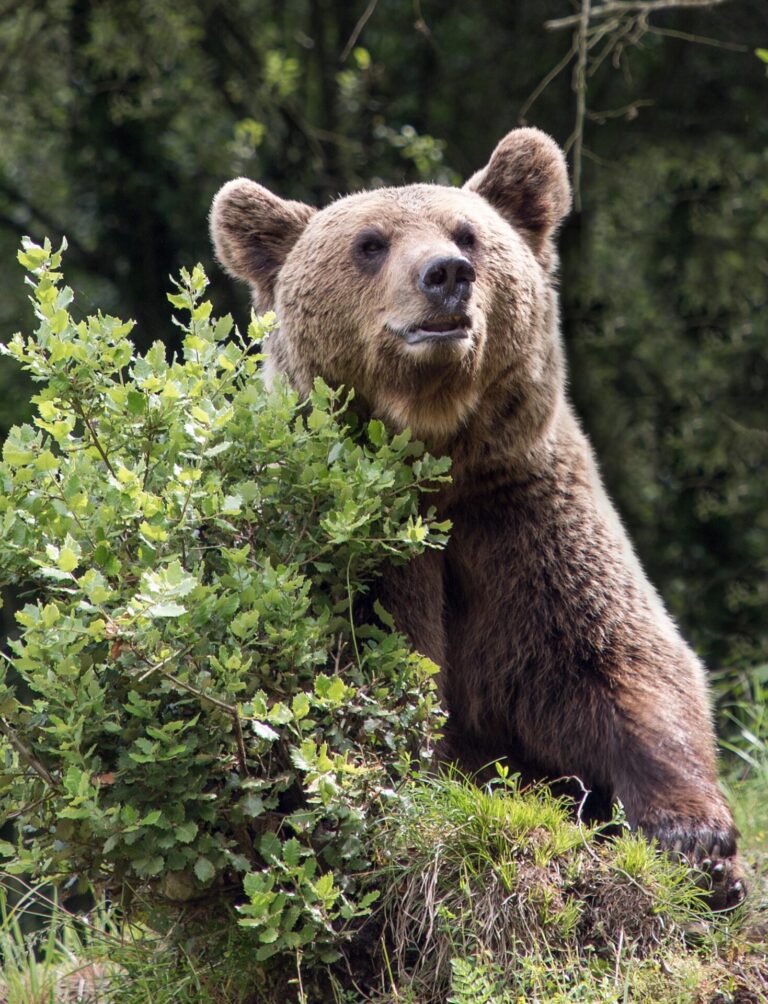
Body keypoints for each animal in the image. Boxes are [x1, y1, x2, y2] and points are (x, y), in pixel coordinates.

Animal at [210, 127, 744, 907]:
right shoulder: (348, 544)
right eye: (370, 243)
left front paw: (699, 841)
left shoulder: (522, 517)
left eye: (468, 233)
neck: (436, 452)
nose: (446, 274)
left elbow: (618, 659)